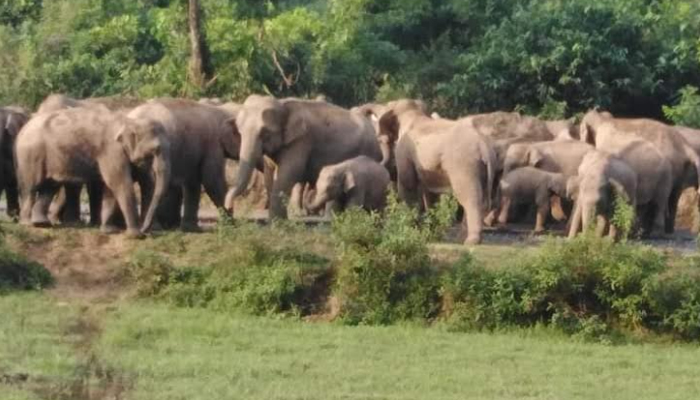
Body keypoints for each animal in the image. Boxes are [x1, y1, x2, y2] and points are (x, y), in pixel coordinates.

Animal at [15, 106, 171, 238]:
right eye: (156, 150)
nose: (146, 231)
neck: (129, 121)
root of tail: (23, 128)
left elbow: (110, 188)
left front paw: (109, 231)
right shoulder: (111, 150)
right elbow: (120, 184)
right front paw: (135, 235)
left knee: (49, 187)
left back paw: (42, 224)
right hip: (31, 155)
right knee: (31, 187)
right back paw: (27, 223)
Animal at [226, 95, 382, 220]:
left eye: (265, 133)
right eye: (239, 131)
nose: (229, 207)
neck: (282, 104)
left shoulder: (301, 140)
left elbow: (288, 174)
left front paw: (277, 221)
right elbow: (269, 174)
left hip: (368, 150)